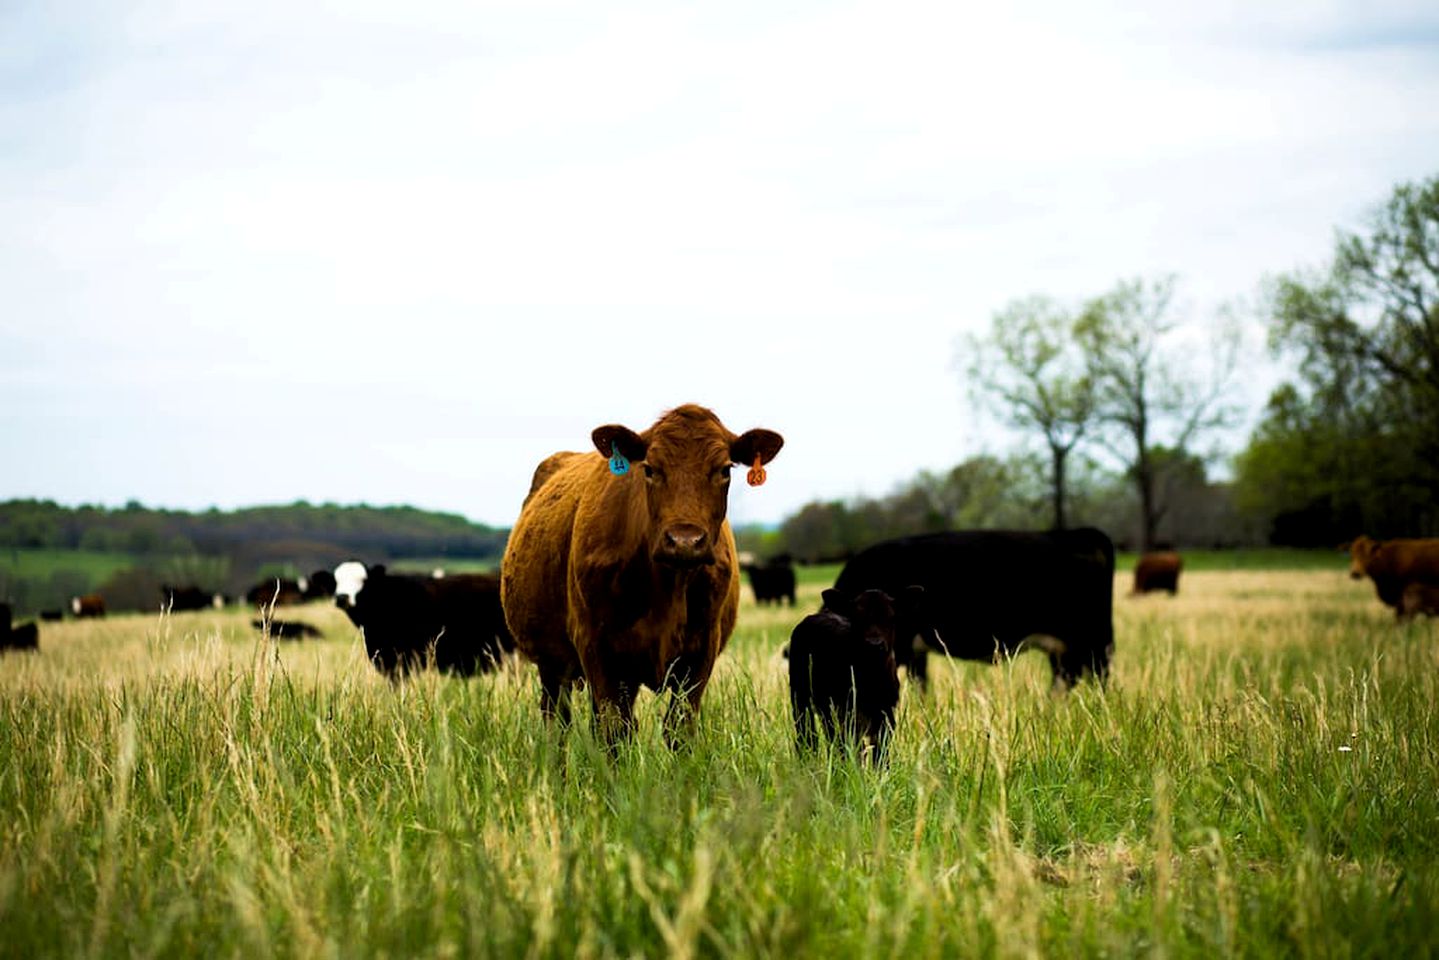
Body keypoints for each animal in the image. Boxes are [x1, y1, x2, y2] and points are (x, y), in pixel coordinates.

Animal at [500, 402, 782, 742]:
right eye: (649, 469)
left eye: (725, 470)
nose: (685, 541)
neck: (668, 587)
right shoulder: (595, 645)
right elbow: (613, 729)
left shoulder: (702, 651)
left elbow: (679, 728)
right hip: (554, 665)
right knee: (558, 724)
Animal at [782, 587, 915, 765]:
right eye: (856, 618)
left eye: (891, 617)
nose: (874, 645)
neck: (871, 678)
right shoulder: (847, 713)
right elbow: (854, 750)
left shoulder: (886, 714)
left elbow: (881, 755)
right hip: (801, 698)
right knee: (808, 736)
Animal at [828, 529, 1116, 693]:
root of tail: (1072, 534)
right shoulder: (914, 653)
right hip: (1066, 648)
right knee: (1066, 679)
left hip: (1092, 641)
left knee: (1096, 678)